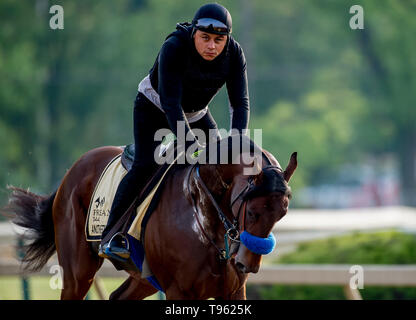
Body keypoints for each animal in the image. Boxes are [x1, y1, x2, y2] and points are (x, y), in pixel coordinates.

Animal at [3, 135, 296, 300]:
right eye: (253, 212)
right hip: (78, 272)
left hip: (143, 276)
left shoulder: (233, 291)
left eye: (281, 213)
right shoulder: (179, 291)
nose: (247, 264)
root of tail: (70, 172)